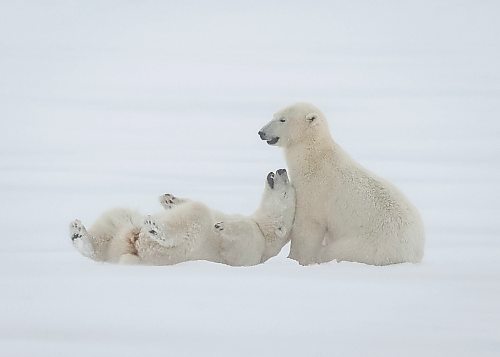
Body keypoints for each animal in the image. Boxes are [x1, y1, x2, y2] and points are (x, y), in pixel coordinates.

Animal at [70, 168, 296, 266]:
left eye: (287, 192)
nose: (281, 170)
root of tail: (134, 249)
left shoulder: (253, 249)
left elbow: (235, 244)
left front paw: (223, 226)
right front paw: (168, 199)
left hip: (174, 251)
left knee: (196, 214)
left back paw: (154, 227)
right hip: (126, 230)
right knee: (115, 218)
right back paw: (78, 233)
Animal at [258, 102, 426, 264]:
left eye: (282, 119)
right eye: (274, 115)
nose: (261, 132)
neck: (314, 158)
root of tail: (415, 252)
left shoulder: (315, 190)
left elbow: (308, 225)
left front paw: (295, 258)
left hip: (370, 245)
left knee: (335, 251)